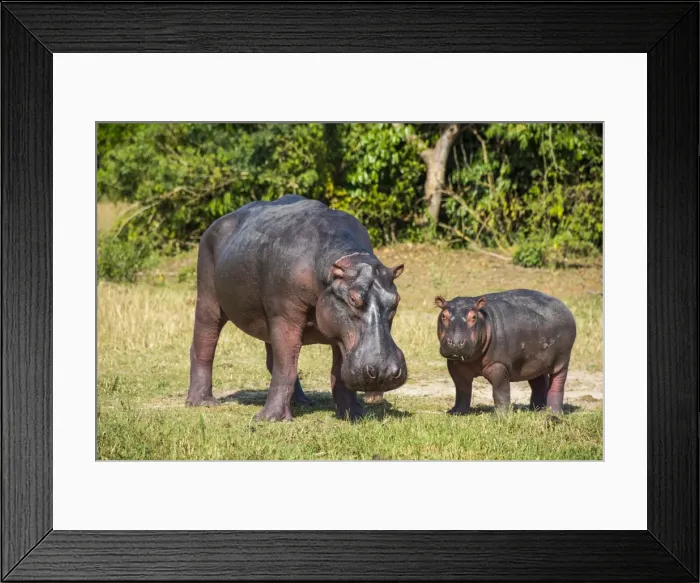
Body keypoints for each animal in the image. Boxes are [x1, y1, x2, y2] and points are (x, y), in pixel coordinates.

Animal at [185, 194, 407, 421]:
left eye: (396, 299)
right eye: (353, 299)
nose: (384, 371)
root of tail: (214, 225)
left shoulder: (337, 329)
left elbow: (335, 373)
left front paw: (354, 414)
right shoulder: (285, 316)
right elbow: (285, 368)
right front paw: (268, 419)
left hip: (269, 321)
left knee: (277, 359)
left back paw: (302, 402)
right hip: (208, 300)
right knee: (204, 345)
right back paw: (202, 403)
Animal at [434, 289, 576, 415]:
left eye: (473, 317)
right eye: (443, 316)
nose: (456, 342)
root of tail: (563, 305)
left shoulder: (499, 366)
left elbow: (500, 392)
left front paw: (500, 417)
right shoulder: (455, 365)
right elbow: (462, 390)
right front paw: (456, 412)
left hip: (563, 359)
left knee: (557, 384)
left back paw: (554, 413)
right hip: (535, 362)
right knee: (539, 383)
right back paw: (536, 411)